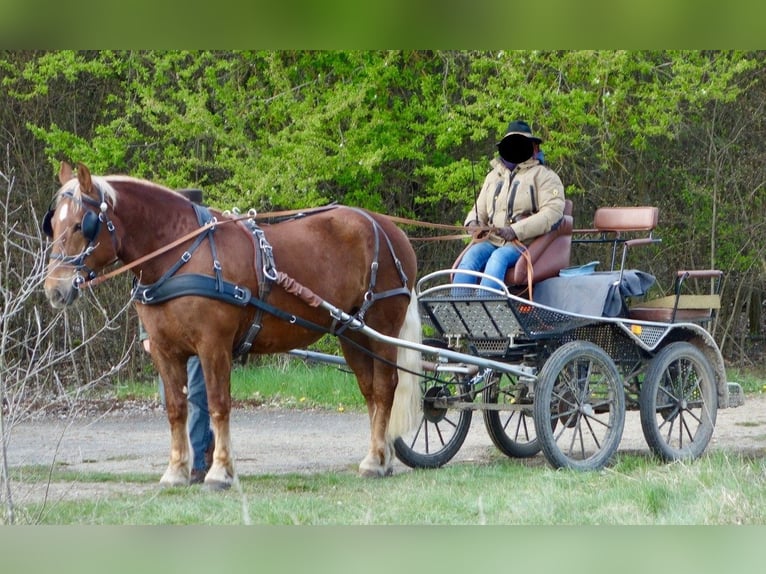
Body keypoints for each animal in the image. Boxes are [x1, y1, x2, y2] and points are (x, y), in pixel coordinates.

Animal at [44, 162, 424, 490]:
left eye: (82, 225)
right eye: (54, 225)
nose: (54, 290)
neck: (181, 253)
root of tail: (387, 226)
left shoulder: (214, 345)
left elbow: (218, 404)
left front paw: (220, 472)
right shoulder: (165, 350)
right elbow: (176, 409)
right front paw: (176, 471)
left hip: (381, 325)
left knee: (385, 387)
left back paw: (376, 461)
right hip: (351, 332)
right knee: (370, 390)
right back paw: (380, 457)